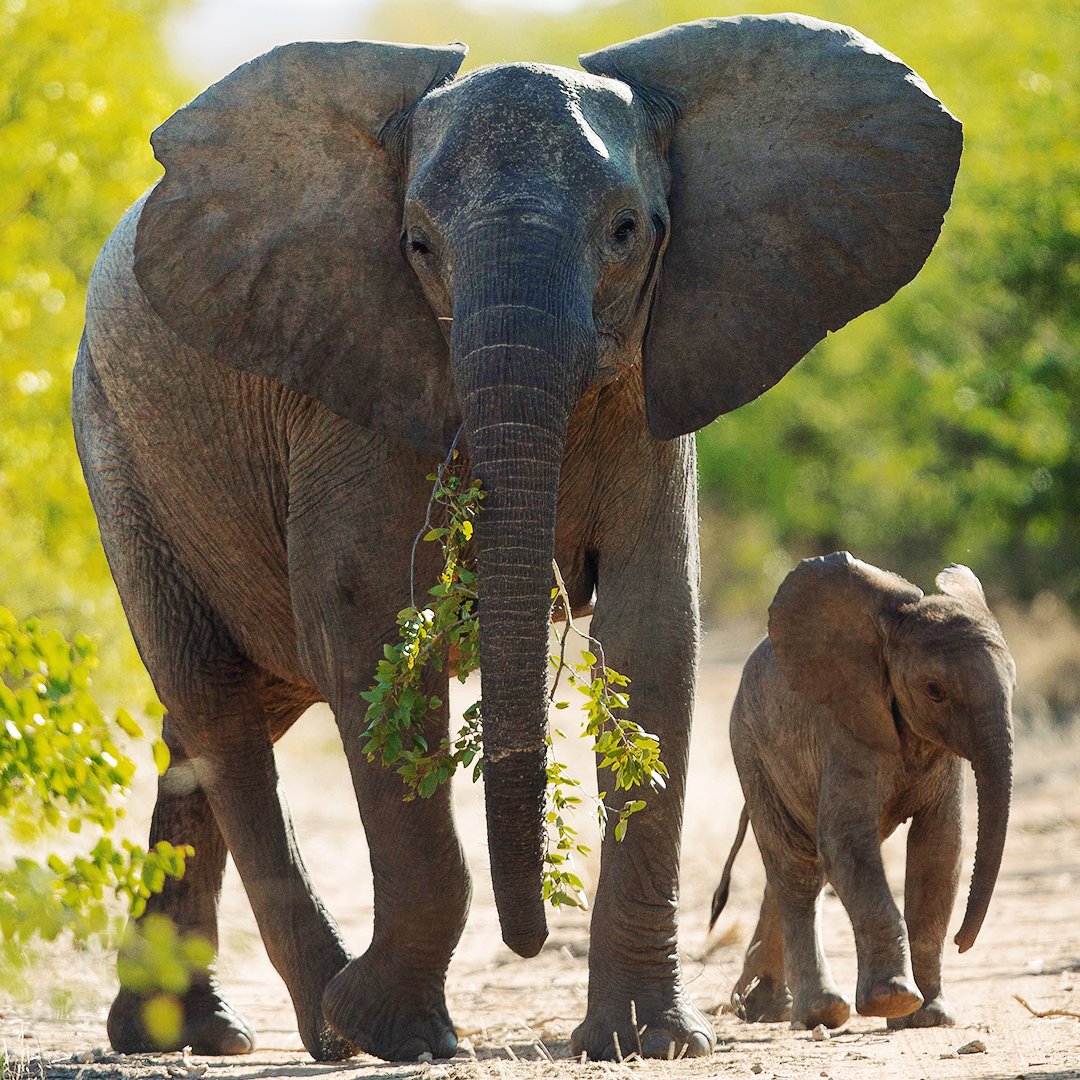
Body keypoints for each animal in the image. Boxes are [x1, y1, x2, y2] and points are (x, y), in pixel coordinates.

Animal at [71, 14, 962, 1063]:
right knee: (217, 702)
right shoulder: (350, 386)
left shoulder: (650, 379)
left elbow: (654, 628)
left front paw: (647, 1041)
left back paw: (187, 1030)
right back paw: (327, 1024)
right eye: (417, 244)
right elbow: (365, 627)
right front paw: (405, 1034)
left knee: (222, 713)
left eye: (627, 232)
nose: (529, 938)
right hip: (119, 445)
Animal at [710, 553, 1015, 1032]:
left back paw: (764, 1009)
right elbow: (847, 844)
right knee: (798, 865)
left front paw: (929, 1018)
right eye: (935, 691)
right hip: (751, 748)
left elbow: (939, 849)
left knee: (798, 865)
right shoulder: (844, 730)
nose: (963, 943)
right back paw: (819, 1012)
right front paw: (894, 1001)